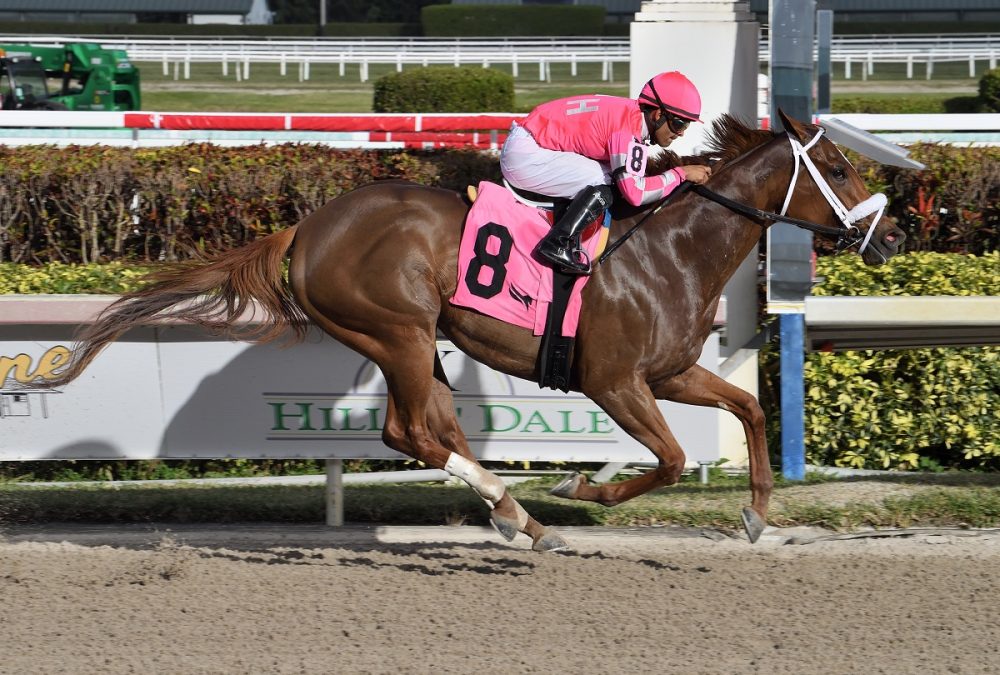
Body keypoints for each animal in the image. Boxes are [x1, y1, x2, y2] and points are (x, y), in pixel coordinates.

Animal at [45, 113, 908, 552]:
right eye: (838, 165)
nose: (892, 236)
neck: (672, 249)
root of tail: (307, 228)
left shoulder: (666, 372)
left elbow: (750, 408)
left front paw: (759, 515)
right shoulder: (614, 380)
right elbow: (665, 459)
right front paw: (581, 487)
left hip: (417, 340)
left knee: (435, 429)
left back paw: (510, 513)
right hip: (394, 329)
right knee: (411, 432)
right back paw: (520, 513)